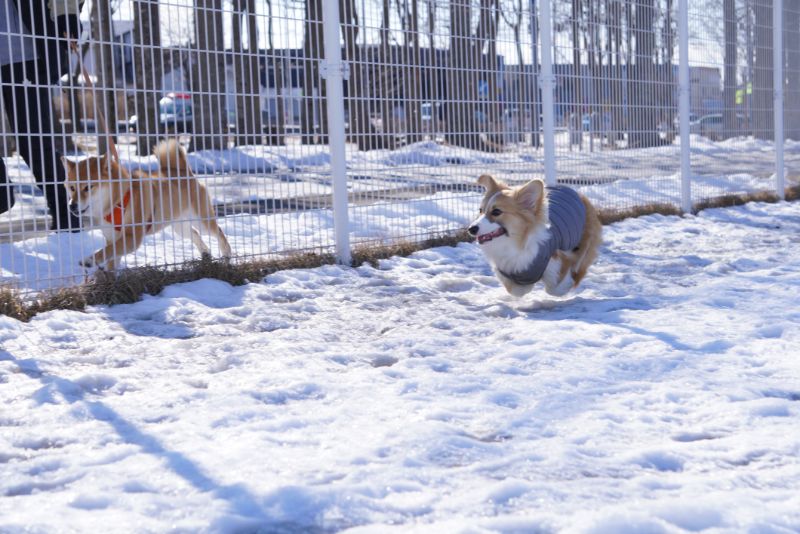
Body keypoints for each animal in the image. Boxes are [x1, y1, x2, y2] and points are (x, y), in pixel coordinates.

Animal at [63, 140, 231, 270]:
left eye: (88, 187)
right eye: (72, 188)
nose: (71, 206)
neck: (118, 201)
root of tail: (184, 172)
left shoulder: (131, 237)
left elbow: (106, 251)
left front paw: (89, 260)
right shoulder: (112, 237)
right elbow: (111, 256)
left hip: (201, 220)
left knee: (218, 231)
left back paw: (227, 253)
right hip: (179, 226)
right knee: (195, 234)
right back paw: (206, 253)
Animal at [468, 177, 600, 300]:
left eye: (496, 211)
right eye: (480, 210)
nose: (471, 229)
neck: (514, 243)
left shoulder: (556, 259)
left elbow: (554, 288)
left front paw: (569, 282)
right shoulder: (507, 271)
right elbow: (517, 290)